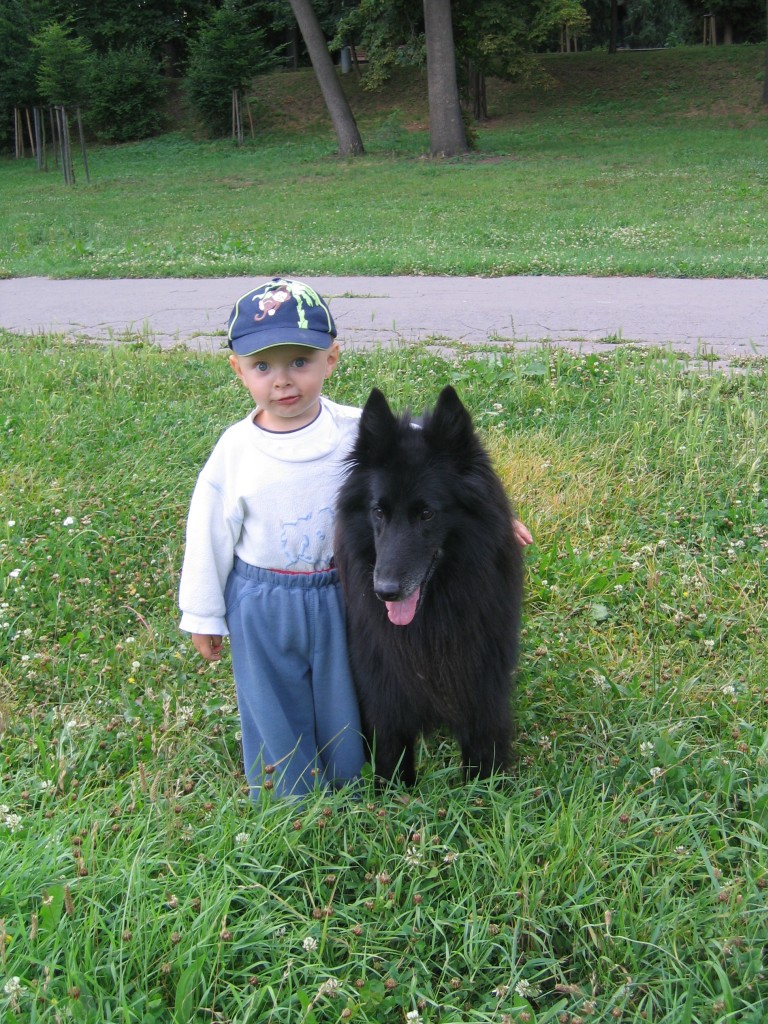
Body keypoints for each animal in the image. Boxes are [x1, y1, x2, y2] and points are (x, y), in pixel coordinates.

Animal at [333, 385, 528, 782]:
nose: (385, 591)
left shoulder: (483, 695)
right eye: (378, 512)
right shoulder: (385, 699)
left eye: (426, 513)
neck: (432, 619)